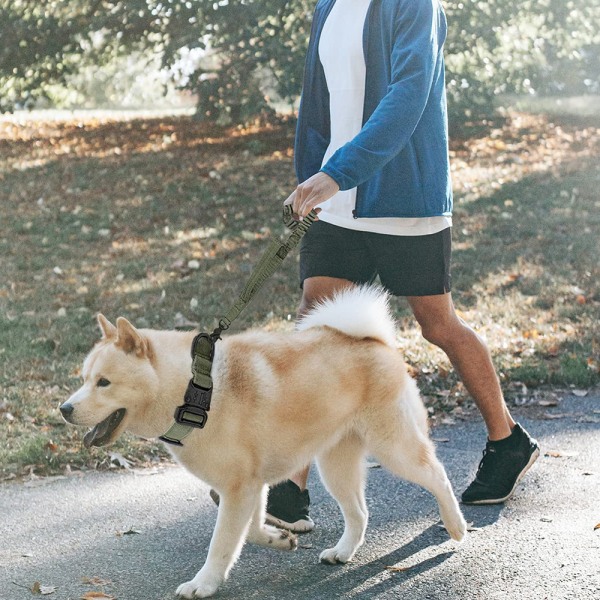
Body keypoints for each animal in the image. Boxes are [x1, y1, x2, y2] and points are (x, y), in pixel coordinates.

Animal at [59, 288, 464, 600]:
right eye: (84, 379)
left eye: (104, 382)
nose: (64, 409)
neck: (193, 393)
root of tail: (374, 340)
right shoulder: (248, 487)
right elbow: (250, 530)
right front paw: (279, 539)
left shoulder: (240, 489)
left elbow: (222, 543)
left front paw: (204, 584)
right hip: (335, 466)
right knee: (360, 514)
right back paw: (343, 551)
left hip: (393, 448)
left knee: (438, 475)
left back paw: (457, 525)